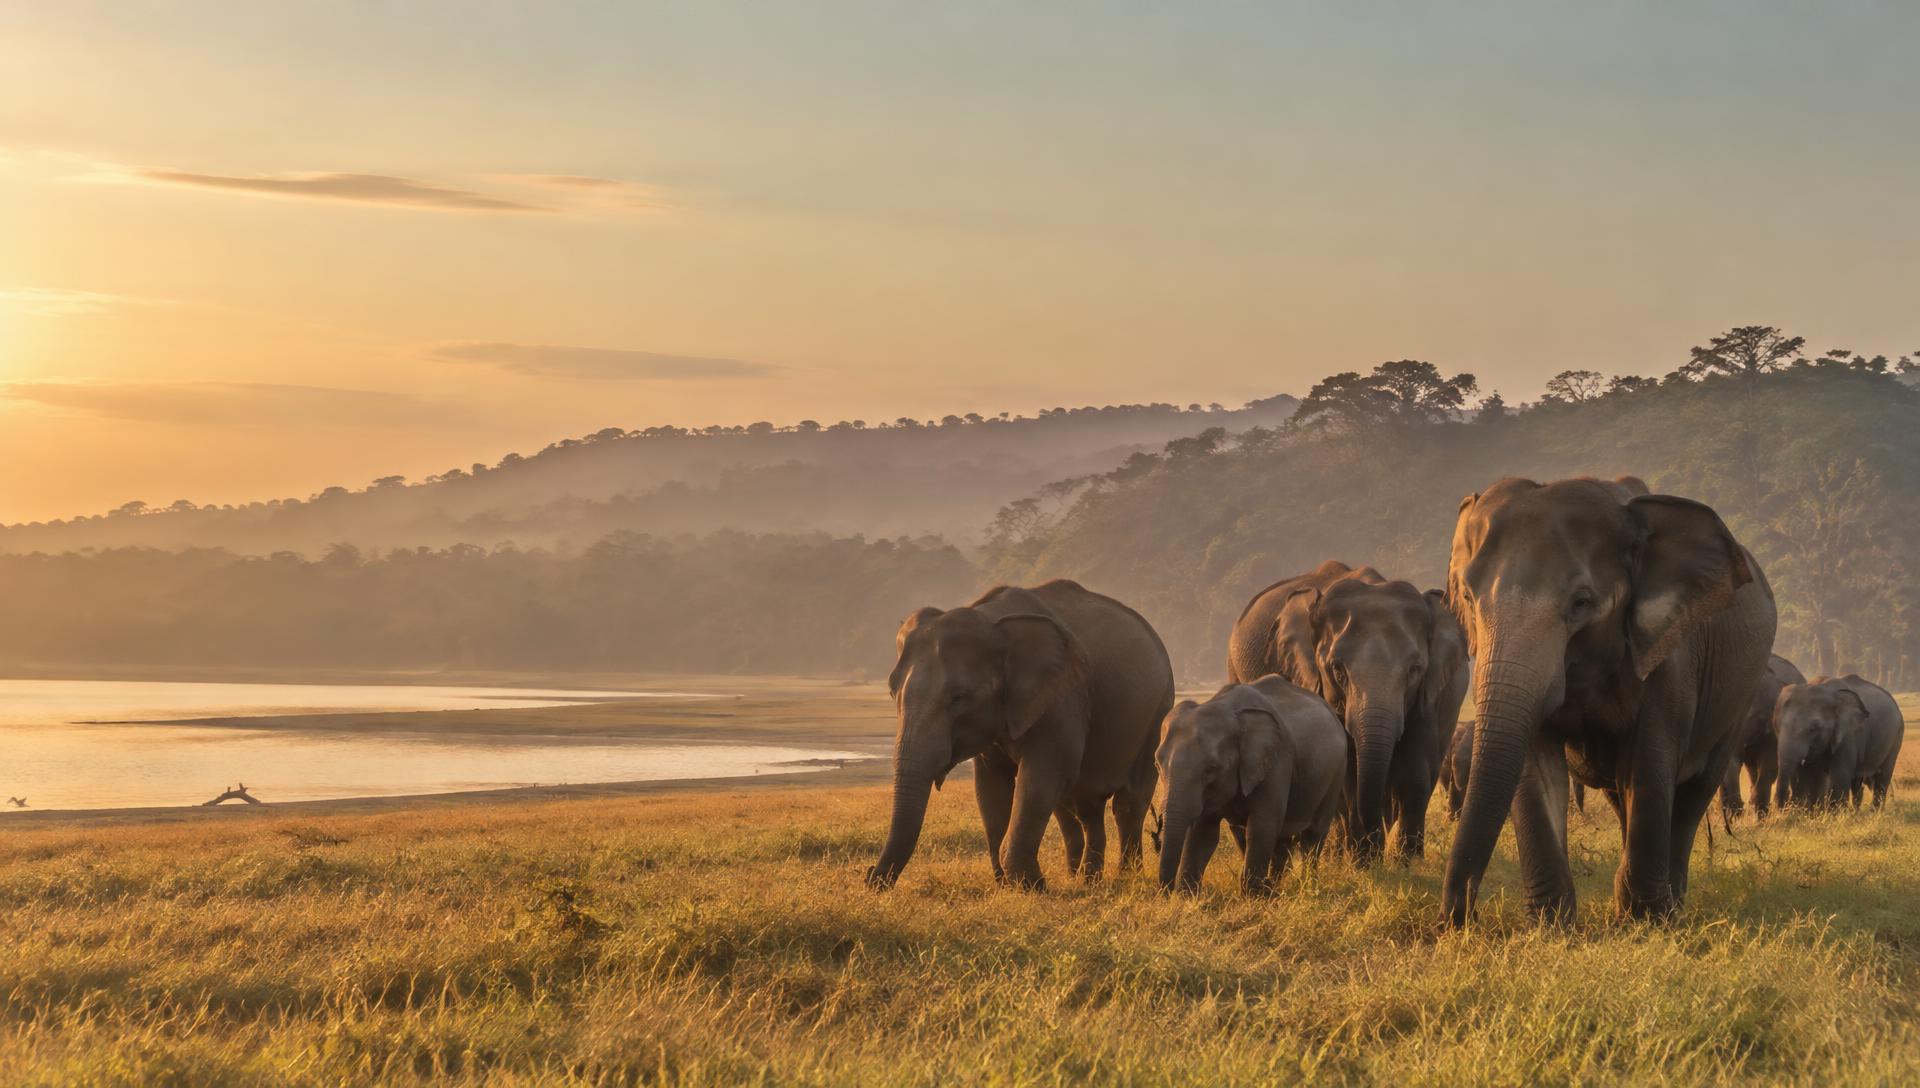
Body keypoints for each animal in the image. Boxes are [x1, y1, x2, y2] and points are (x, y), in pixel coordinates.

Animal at [866, 579, 1174, 891]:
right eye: (891, 692)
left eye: (959, 697)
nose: (870, 877)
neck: (994, 622)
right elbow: (990, 789)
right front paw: (1005, 883)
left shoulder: (1063, 697)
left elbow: (1041, 778)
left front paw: (1030, 885)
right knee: (1084, 807)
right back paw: (1086, 879)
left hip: (1157, 712)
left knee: (1127, 803)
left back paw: (1126, 876)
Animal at [1154, 675, 1347, 894]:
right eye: (1157, 765)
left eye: (1211, 768)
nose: (1166, 892)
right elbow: (1203, 833)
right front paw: (1188, 895)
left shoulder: (1276, 763)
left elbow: (1262, 826)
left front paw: (1253, 896)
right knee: (1281, 840)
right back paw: (1275, 888)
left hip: (1335, 774)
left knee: (1313, 835)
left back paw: (1306, 889)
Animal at [1227, 560, 1469, 863]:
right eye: (1337, 669)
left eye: (1415, 669)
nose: (1373, 845)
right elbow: (1349, 771)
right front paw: (1364, 861)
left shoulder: (1432, 691)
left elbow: (1417, 766)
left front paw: (1406, 862)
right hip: (1234, 669)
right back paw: (1340, 853)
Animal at [1442, 475, 1776, 924]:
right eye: (1467, 597)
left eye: (1581, 602)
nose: (1460, 918)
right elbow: (1537, 770)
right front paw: (1551, 925)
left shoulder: (1669, 656)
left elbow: (1649, 765)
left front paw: (1644, 922)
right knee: (1622, 796)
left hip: (1740, 693)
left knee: (1694, 791)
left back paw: (1671, 904)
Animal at [1773, 675, 1904, 810]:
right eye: (1776, 725)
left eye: (1813, 729)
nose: (1783, 806)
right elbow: (1806, 776)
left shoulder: (1848, 736)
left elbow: (1839, 778)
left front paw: (1834, 814)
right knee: (1857, 782)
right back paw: (1856, 812)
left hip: (1897, 736)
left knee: (1882, 779)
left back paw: (1875, 812)